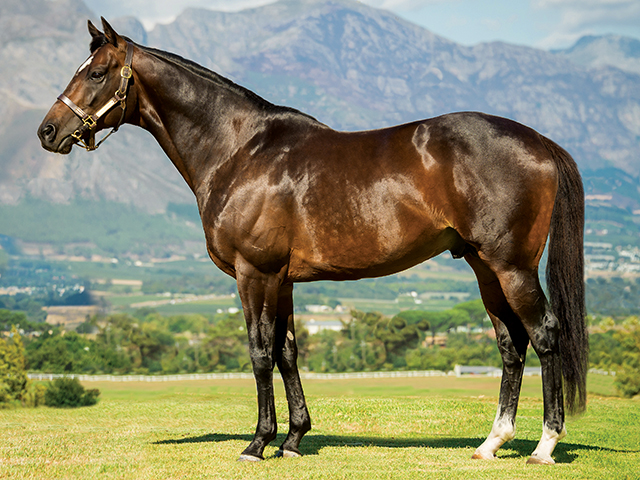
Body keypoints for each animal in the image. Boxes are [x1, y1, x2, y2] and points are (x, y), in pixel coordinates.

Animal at [37, 18, 588, 464]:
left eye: (96, 73)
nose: (48, 131)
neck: (239, 149)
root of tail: (539, 141)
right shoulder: (281, 280)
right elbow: (288, 353)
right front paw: (295, 438)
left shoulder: (253, 273)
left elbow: (260, 353)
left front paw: (258, 443)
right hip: (483, 267)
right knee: (511, 344)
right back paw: (491, 443)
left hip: (511, 266)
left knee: (544, 335)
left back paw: (544, 446)